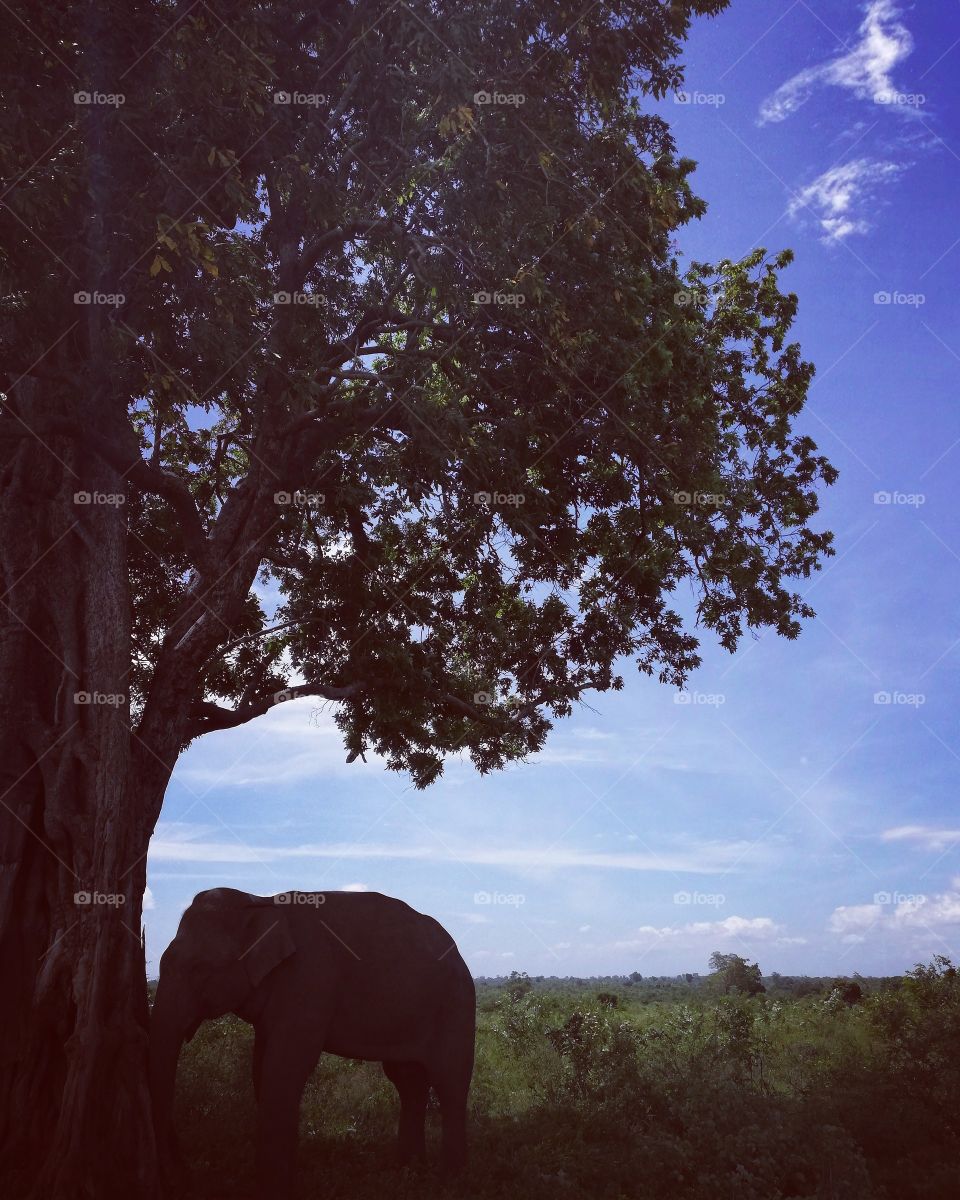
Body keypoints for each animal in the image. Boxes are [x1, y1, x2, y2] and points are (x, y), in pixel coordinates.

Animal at [149, 887, 475, 1198]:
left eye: (199, 969)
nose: (182, 1181)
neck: (261, 901)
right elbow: (262, 1069)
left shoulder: (309, 980)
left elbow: (284, 1070)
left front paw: (276, 1192)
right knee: (408, 1082)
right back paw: (410, 1172)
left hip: (456, 1003)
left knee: (450, 1082)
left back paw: (450, 1181)